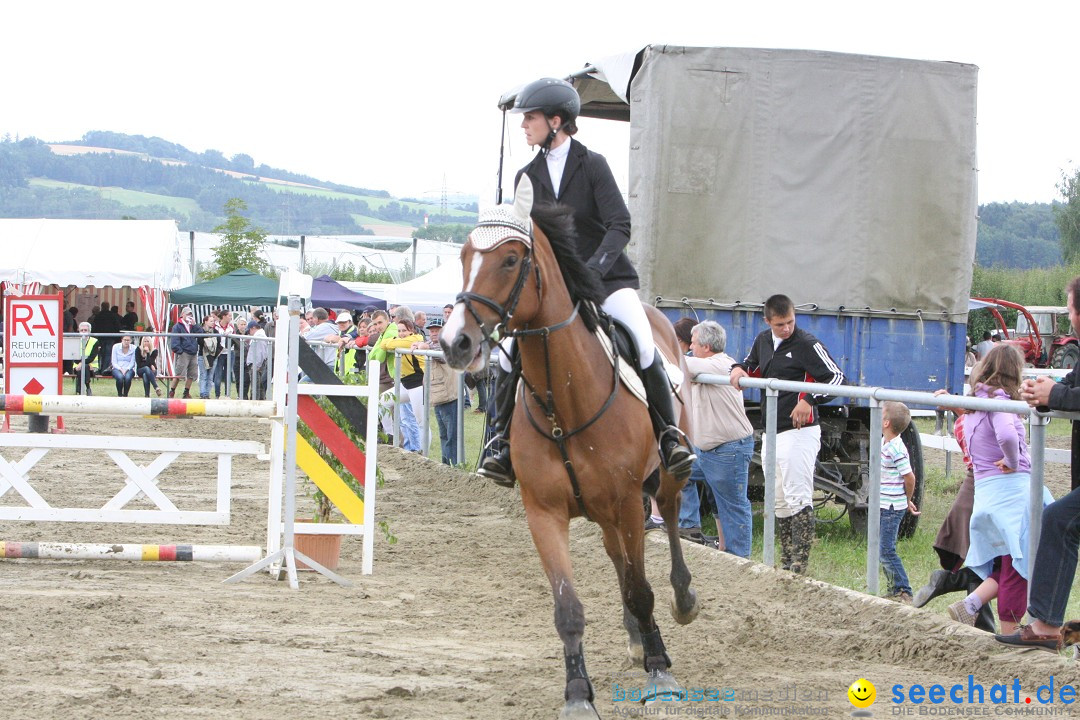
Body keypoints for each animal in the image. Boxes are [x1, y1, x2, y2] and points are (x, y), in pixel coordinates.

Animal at [438, 177, 699, 716]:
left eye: (510, 260)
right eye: (465, 255)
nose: (455, 343)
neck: (566, 403)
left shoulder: (627, 501)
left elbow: (640, 590)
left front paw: (660, 671)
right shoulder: (544, 511)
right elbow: (568, 606)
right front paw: (578, 692)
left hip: (661, 478)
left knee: (666, 525)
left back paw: (682, 603)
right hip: (604, 511)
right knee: (618, 557)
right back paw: (635, 637)